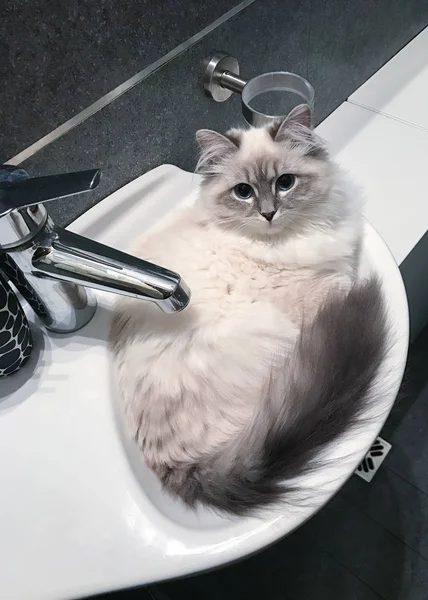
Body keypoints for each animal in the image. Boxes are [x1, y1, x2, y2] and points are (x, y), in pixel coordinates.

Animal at [109, 104, 388, 516]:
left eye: (286, 183)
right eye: (243, 192)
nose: (269, 214)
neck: (286, 239)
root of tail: (179, 466)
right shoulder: (323, 290)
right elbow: (345, 282)